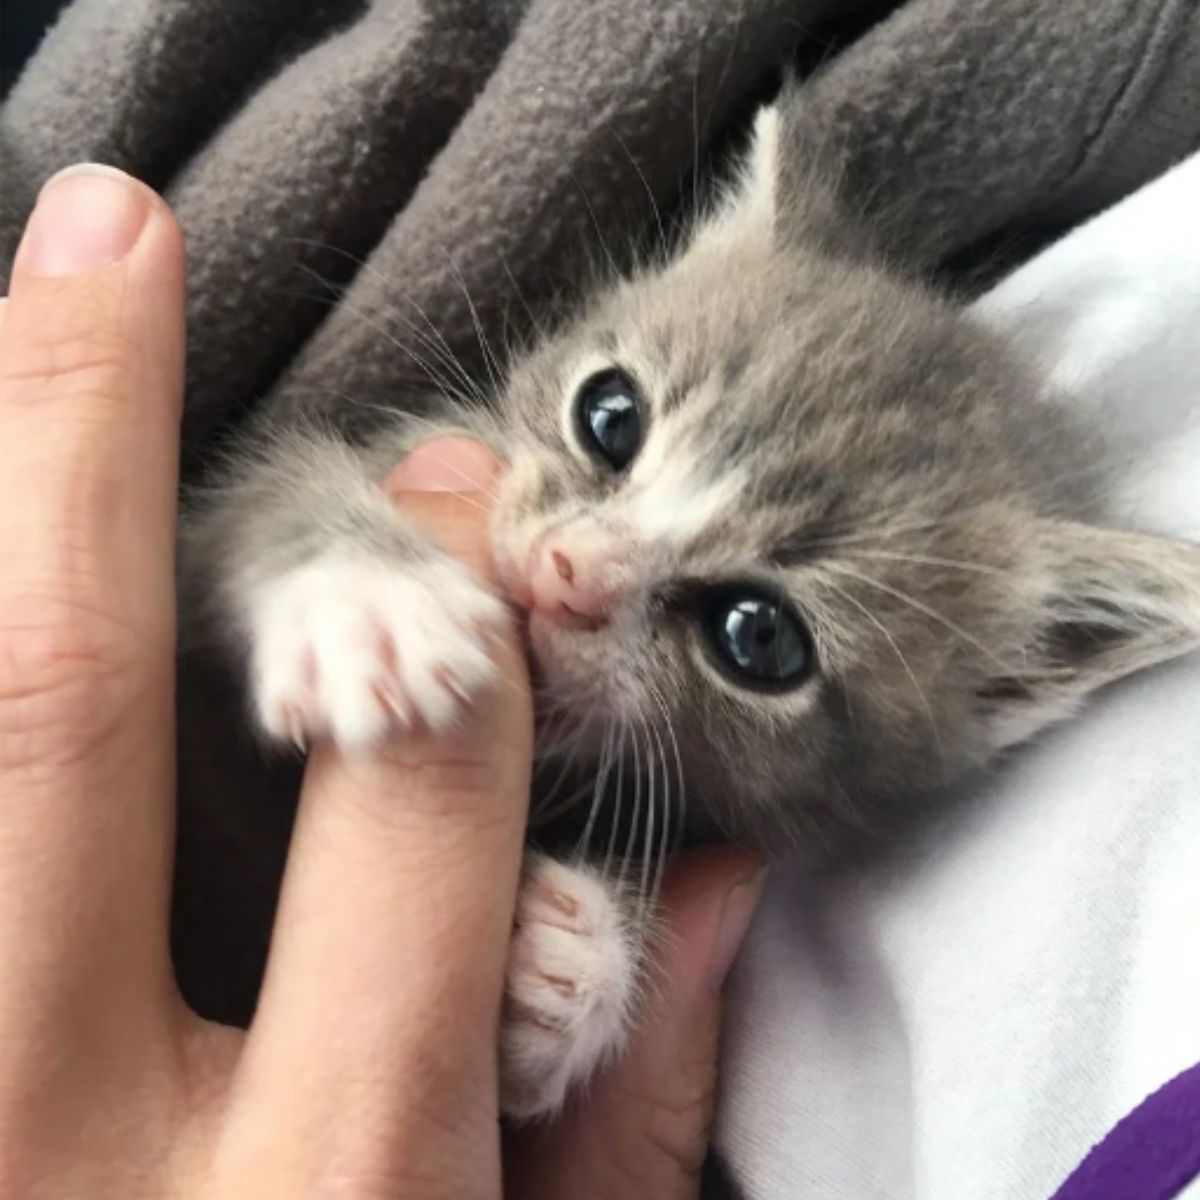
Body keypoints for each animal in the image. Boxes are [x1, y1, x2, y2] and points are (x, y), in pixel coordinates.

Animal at [182, 91, 1200, 1113]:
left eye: (759, 636)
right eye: (610, 415)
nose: (567, 569)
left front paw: (575, 963)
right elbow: (272, 499)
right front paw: (367, 599)